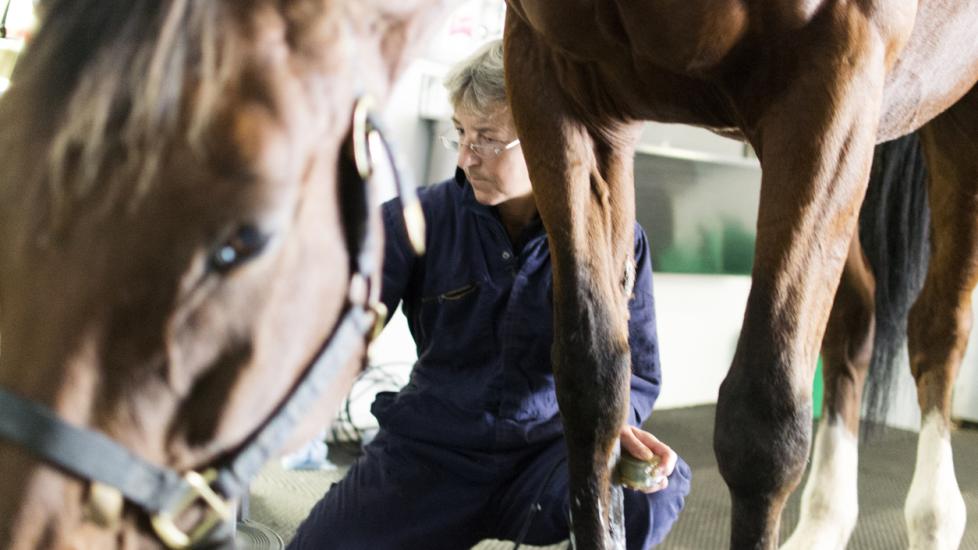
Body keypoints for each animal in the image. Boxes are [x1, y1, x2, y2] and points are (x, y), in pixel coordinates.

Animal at [502, 1, 978, 549]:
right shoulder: (552, 79)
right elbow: (592, 389)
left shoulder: (833, 74)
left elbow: (764, 425)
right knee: (854, 322)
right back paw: (823, 521)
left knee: (937, 328)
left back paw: (934, 517)